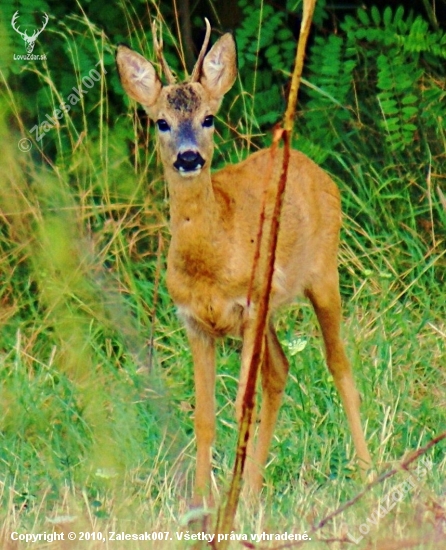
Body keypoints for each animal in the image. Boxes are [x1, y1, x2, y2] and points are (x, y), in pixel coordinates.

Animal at [116, 20, 372, 504]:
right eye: (161, 121)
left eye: (209, 118)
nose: (189, 157)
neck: (210, 261)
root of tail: (312, 166)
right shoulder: (194, 322)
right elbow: (204, 416)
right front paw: (203, 502)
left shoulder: (249, 305)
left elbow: (240, 406)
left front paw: (224, 503)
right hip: (271, 309)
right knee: (280, 370)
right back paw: (253, 492)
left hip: (323, 273)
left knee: (340, 365)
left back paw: (368, 473)